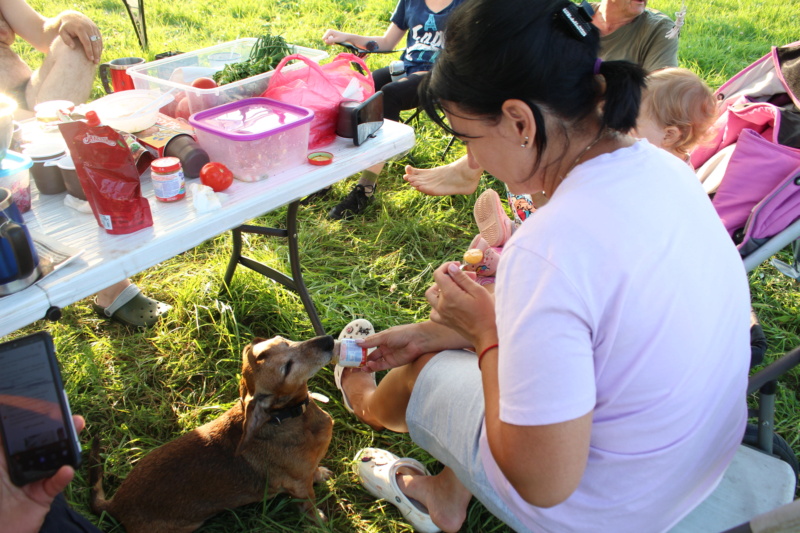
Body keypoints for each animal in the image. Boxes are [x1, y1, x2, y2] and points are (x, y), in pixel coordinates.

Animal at [89, 334, 336, 528]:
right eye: (287, 368)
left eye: (285, 341)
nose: (329, 340)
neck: (287, 418)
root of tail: (115, 505)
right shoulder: (298, 486)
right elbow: (309, 504)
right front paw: (319, 521)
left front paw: (320, 474)